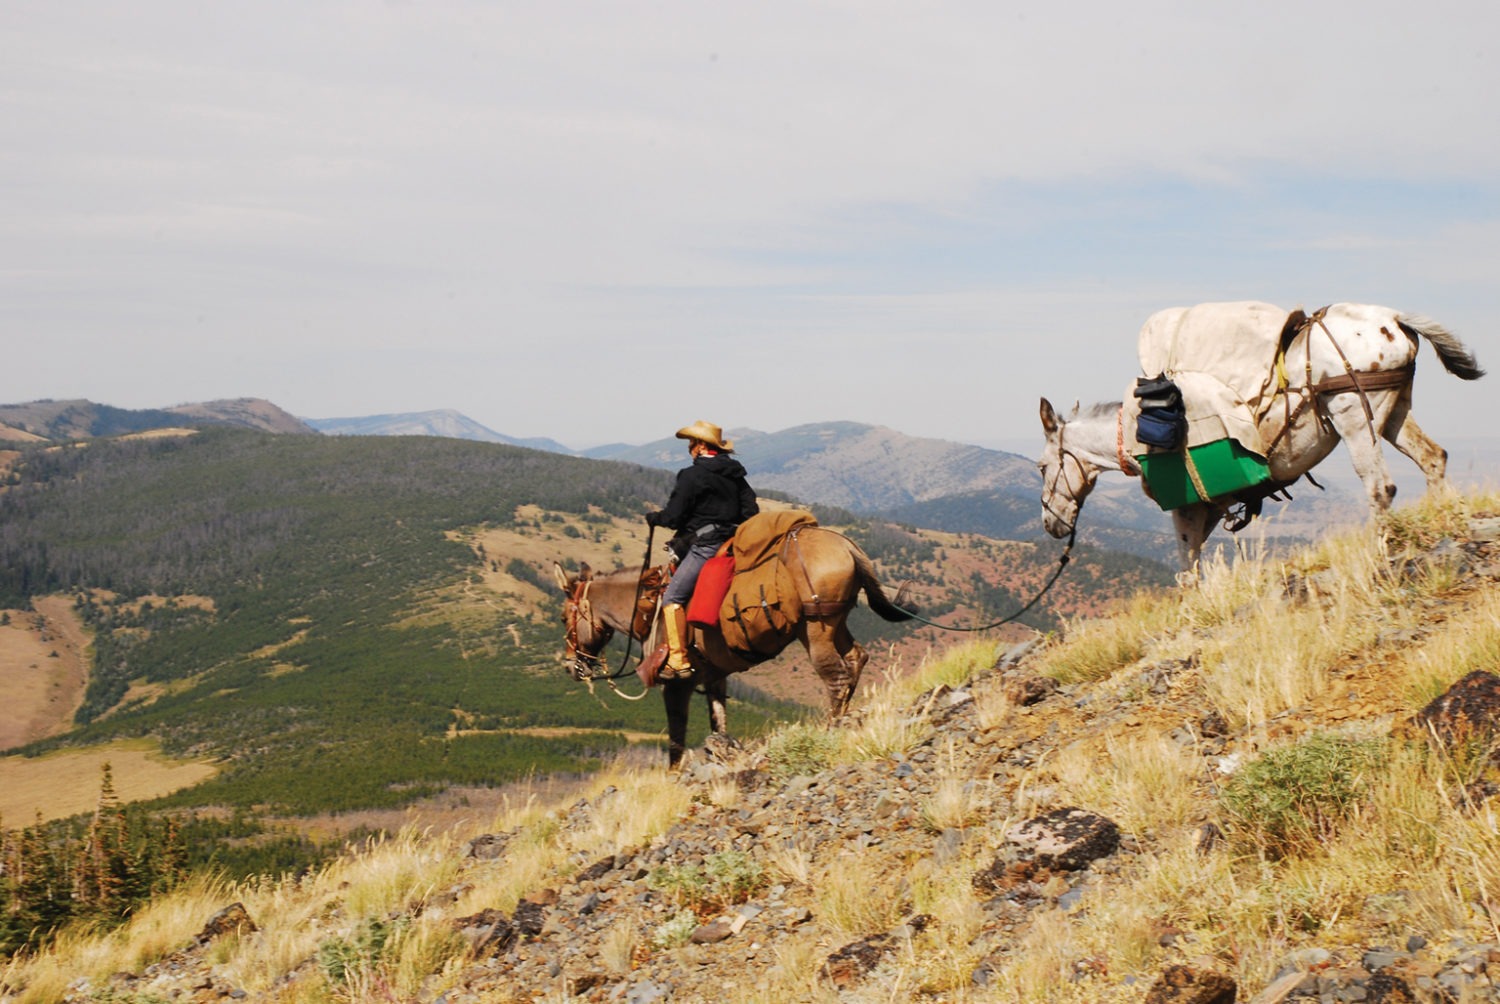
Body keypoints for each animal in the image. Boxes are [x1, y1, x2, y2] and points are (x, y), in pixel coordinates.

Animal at [558, 525, 912, 768]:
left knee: (836, 676)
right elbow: (719, 721)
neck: (648, 609)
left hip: (815, 629)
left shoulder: (677, 686)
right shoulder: (715, 678)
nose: (571, 666)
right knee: (856, 659)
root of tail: (847, 546)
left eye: (564, 617)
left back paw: (831, 728)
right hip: (836, 622)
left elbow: (676, 741)